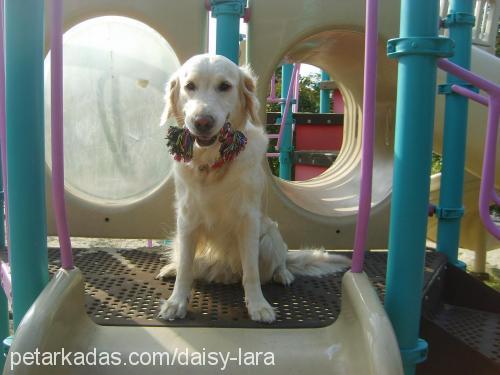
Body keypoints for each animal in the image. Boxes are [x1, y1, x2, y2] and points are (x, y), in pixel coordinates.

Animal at [158, 53, 350, 324]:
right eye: (190, 86)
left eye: (225, 86)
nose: (202, 122)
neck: (212, 164)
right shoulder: (186, 219)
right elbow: (186, 268)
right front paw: (176, 303)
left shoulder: (248, 221)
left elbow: (251, 272)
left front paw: (258, 305)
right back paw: (171, 268)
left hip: (269, 237)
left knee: (279, 262)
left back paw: (283, 274)